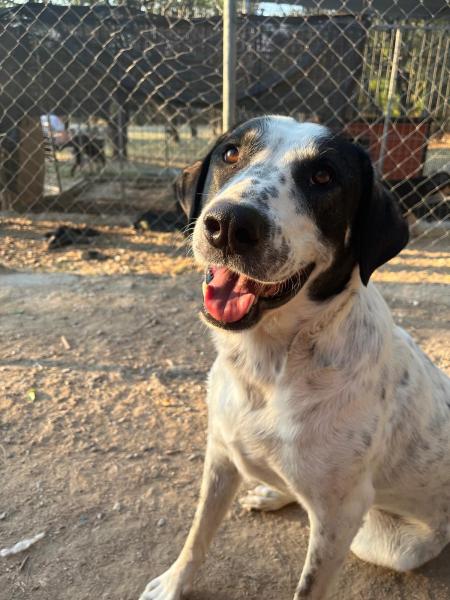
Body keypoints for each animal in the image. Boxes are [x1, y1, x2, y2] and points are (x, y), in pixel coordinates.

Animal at [139, 116, 450, 600]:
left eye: (323, 176)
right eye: (231, 153)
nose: (229, 225)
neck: (267, 369)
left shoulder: (340, 517)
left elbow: (307, 587)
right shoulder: (220, 455)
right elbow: (198, 533)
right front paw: (174, 583)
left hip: (380, 540)